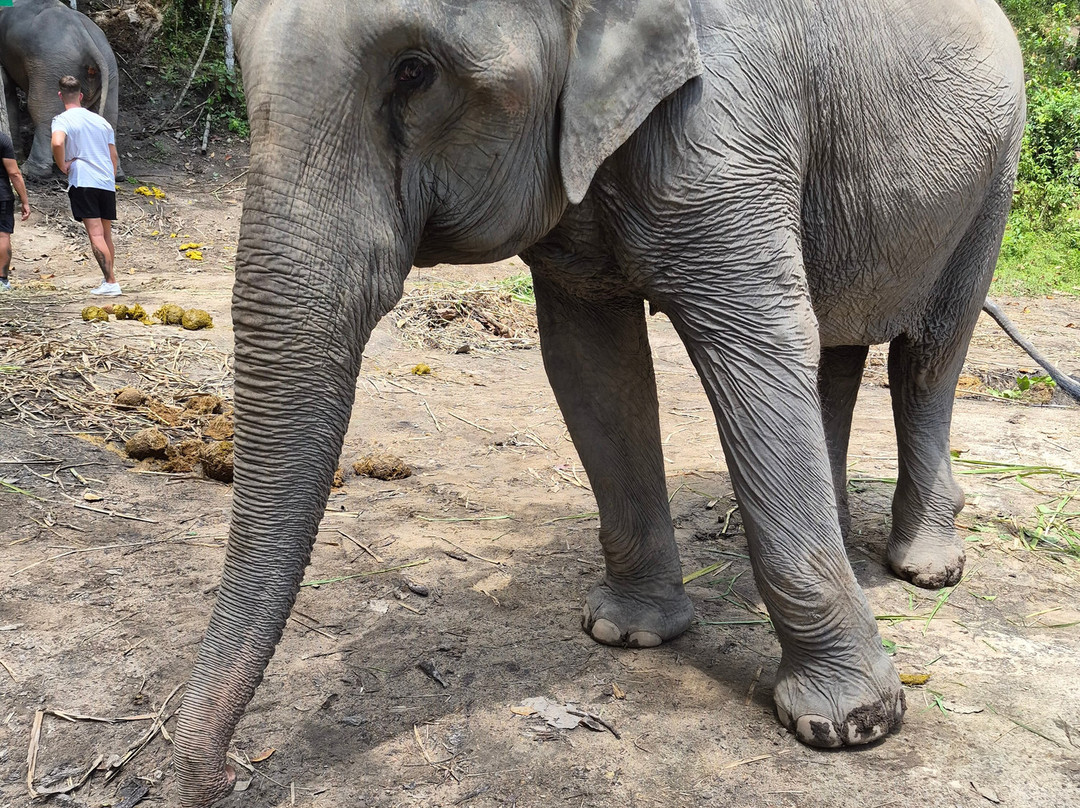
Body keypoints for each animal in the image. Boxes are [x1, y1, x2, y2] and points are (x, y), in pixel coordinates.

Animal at [0, 0, 124, 180]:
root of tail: (85, 37)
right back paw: (116, 173)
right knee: (110, 117)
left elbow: (6, 87)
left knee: (41, 111)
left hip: (51, 66)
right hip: (111, 67)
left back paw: (32, 172)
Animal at [172, 0, 1040, 804]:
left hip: (995, 179)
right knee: (841, 342)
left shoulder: (727, 129)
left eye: (414, 72)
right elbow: (591, 361)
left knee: (930, 352)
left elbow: (758, 345)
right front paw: (626, 633)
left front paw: (851, 725)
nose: (220, 779)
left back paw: (926, 567)